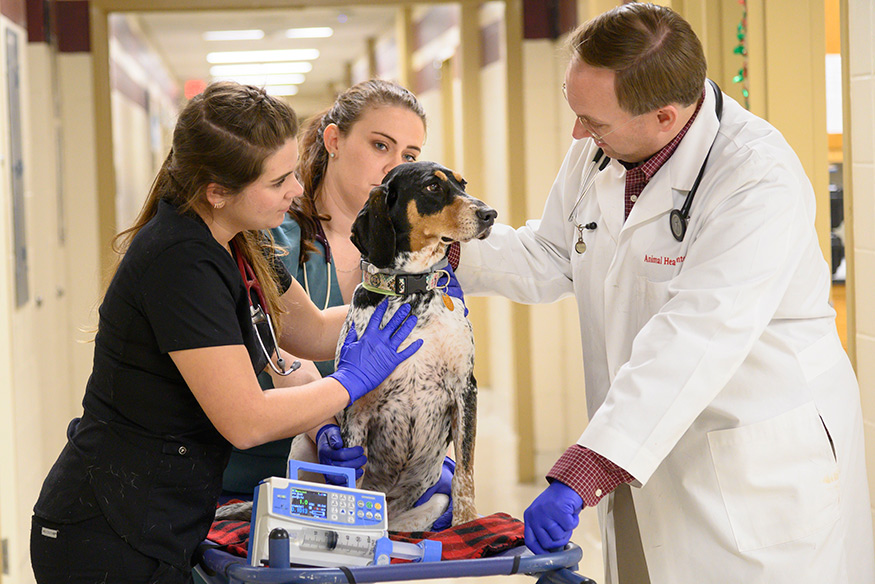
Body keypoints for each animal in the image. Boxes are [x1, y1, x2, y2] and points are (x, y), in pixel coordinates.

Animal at [336, 161, 496, 528]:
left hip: (433, 501)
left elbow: (465, 472)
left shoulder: (465, 390)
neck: (411, 291)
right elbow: (352, 480)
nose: (490, 214)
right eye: (431, 187)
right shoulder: (356, 411)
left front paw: (465, 522)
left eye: (463, 183)